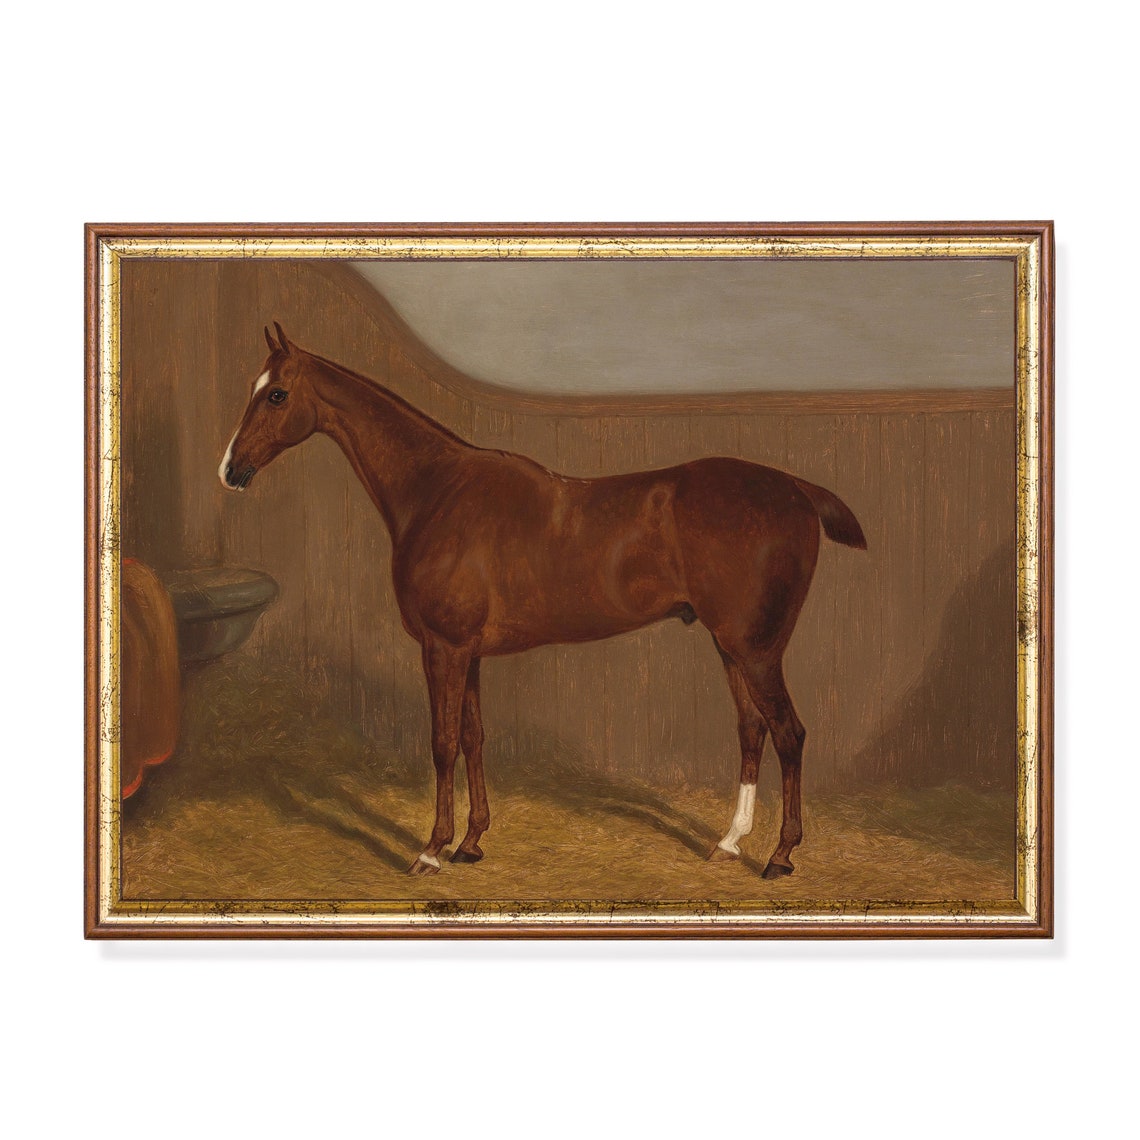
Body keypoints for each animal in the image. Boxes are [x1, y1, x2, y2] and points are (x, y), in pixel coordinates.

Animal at [220, 323, 866, 879]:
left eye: (276, 394)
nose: (231, 469)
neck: (436, 490)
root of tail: (795, 488)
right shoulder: (468, 653)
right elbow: (474, 738)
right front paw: (471, 843)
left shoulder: (442, 648)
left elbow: (441, 744)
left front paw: (430, 850)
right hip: (731, 646)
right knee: (752, 731)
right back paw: (729, 843)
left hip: (757, 650)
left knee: (789, 733)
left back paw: (780, 856)